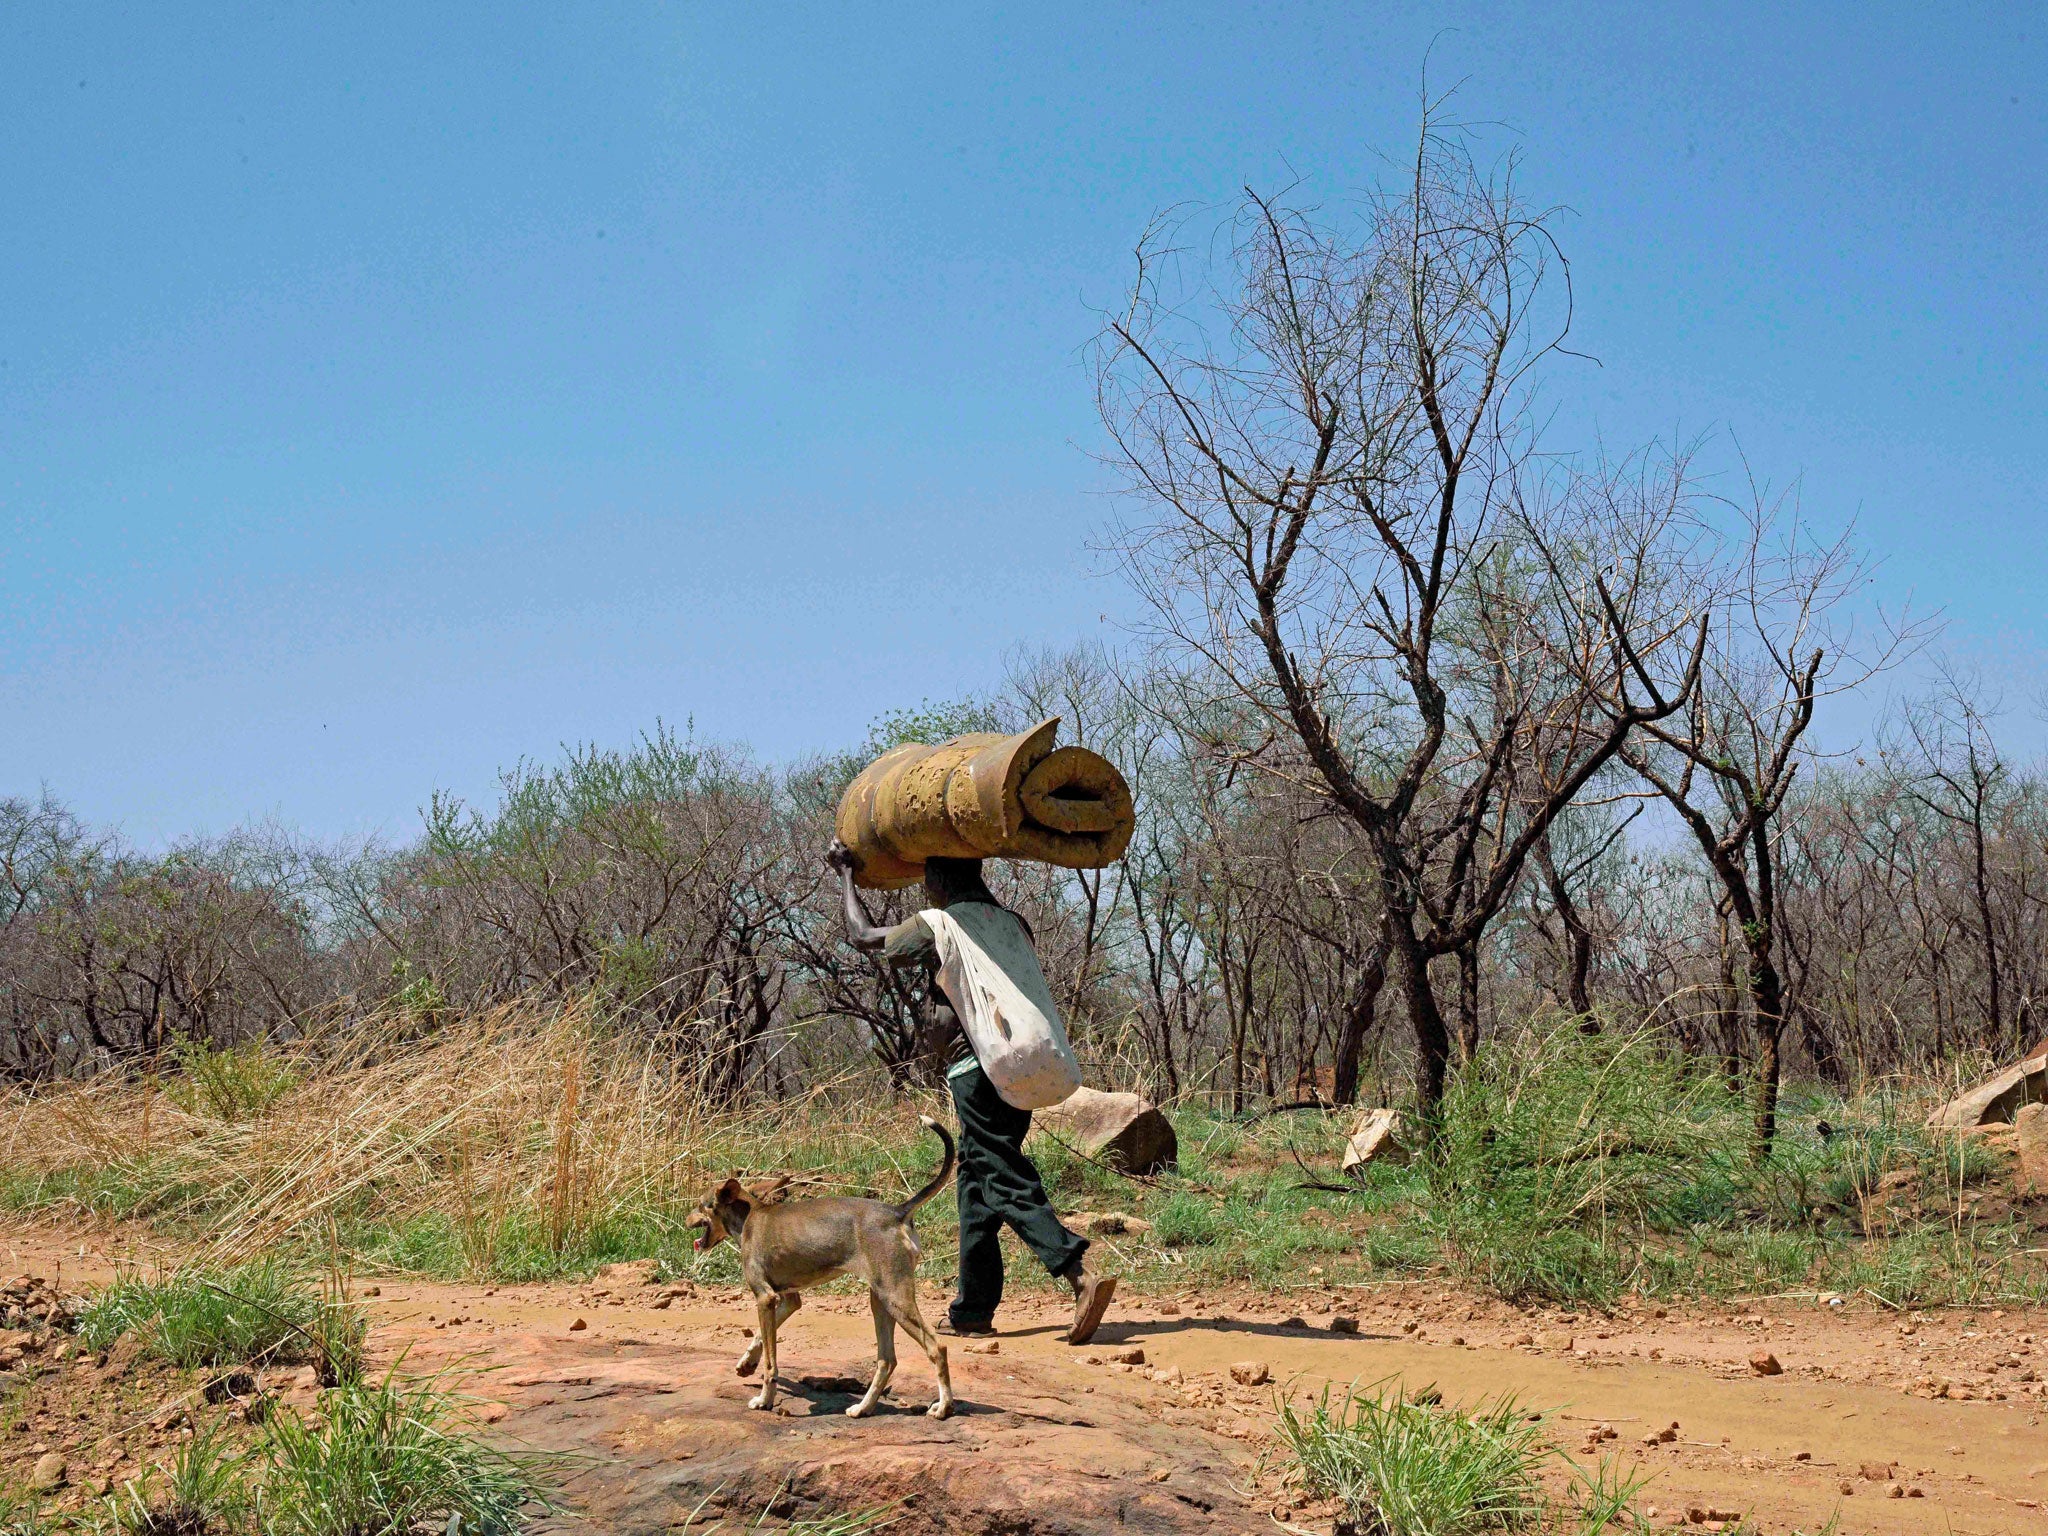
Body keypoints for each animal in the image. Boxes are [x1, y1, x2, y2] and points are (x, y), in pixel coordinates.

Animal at [688, 1122, 958, 1417]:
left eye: (699, 1205)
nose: (685, 1218)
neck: (750, 1216)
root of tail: (897, 1211)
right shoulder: (787, 1299)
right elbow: (760, 1335)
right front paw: (747, 1363)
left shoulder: (764, 1298)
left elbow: (771, 1363)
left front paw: (765, 1399)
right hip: (880, 1299)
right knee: (887, 1360)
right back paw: (863, 1408)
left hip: (895, 1296)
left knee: (937, 1347)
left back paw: (944, 1407)